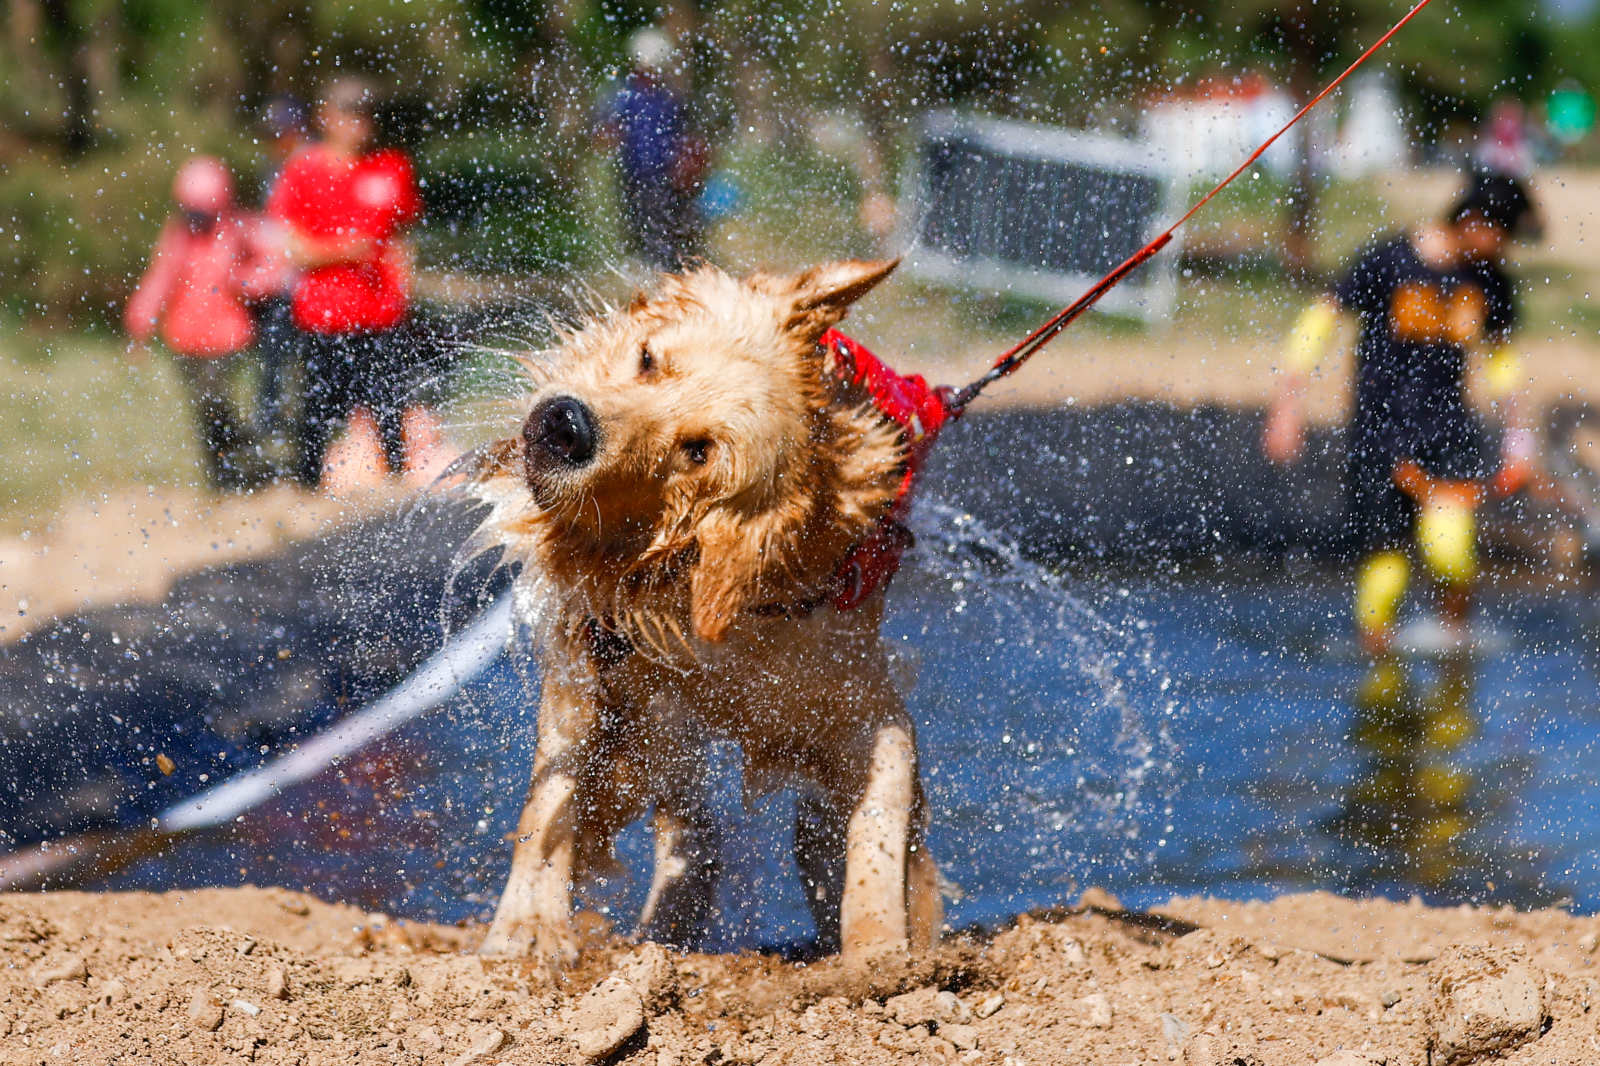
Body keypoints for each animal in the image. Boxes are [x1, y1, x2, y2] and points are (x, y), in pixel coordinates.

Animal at [467, 259, 934, 960]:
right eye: (647, 358)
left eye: (697, 451)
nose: (566, 425)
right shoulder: (596, 661)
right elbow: (553, 798)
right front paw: (526, 926)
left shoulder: (866, 711)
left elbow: (875, 839)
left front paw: (879, 958)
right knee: (692, 829)